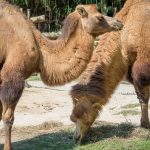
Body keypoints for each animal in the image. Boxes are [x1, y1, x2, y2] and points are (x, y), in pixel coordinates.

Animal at [70, 0, 150, 143]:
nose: (76, 138)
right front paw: (144, 124)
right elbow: (142, 97)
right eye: (73, 119)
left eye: (86, 116)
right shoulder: (132, 70)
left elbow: (145, 95)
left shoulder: (143, 68)